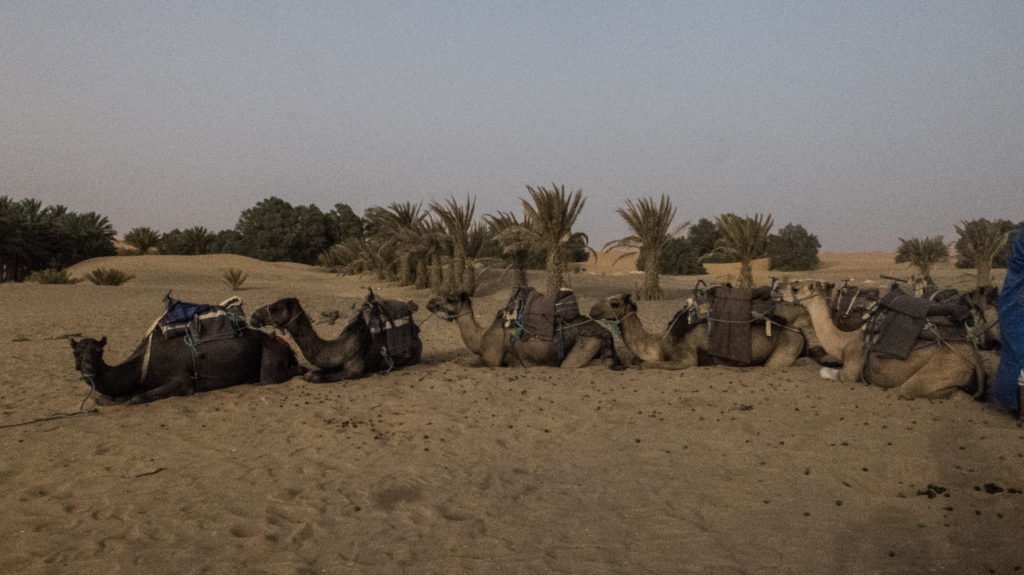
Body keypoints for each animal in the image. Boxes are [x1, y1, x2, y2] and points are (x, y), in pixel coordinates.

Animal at [69, 329, 303, 405]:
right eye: (76, 353)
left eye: (99, 352)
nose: (89, 370)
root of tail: (284, 345)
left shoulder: (183, 381)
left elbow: (137, 397)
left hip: (271, 356)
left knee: (275, 377)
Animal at [249, 294, 421, 380]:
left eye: (275, 307)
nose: (253, 316)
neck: (340, 348)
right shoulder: (332, 364)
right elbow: (315, 372)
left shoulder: (354, 371)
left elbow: (314, 377)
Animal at [423, 290, 622, 366]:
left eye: (450, 299)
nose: (430, 303)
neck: (481, 337)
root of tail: (606, 333)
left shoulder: (493, 360)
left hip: (585, 345)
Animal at [589, 292, 811, 368]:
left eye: (615, 303)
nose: (592, 310)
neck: (659, 343)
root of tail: (798, 330)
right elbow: (638, 361)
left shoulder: (685, 358)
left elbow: (645, 365)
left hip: (786, 347)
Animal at [778, 278, 987, 399]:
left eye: (795, 288)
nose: (779, 291)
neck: (844, 342)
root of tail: (973, 354)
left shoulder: (851, 369)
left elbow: (826, 372)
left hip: (945, 368)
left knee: (911, 389)